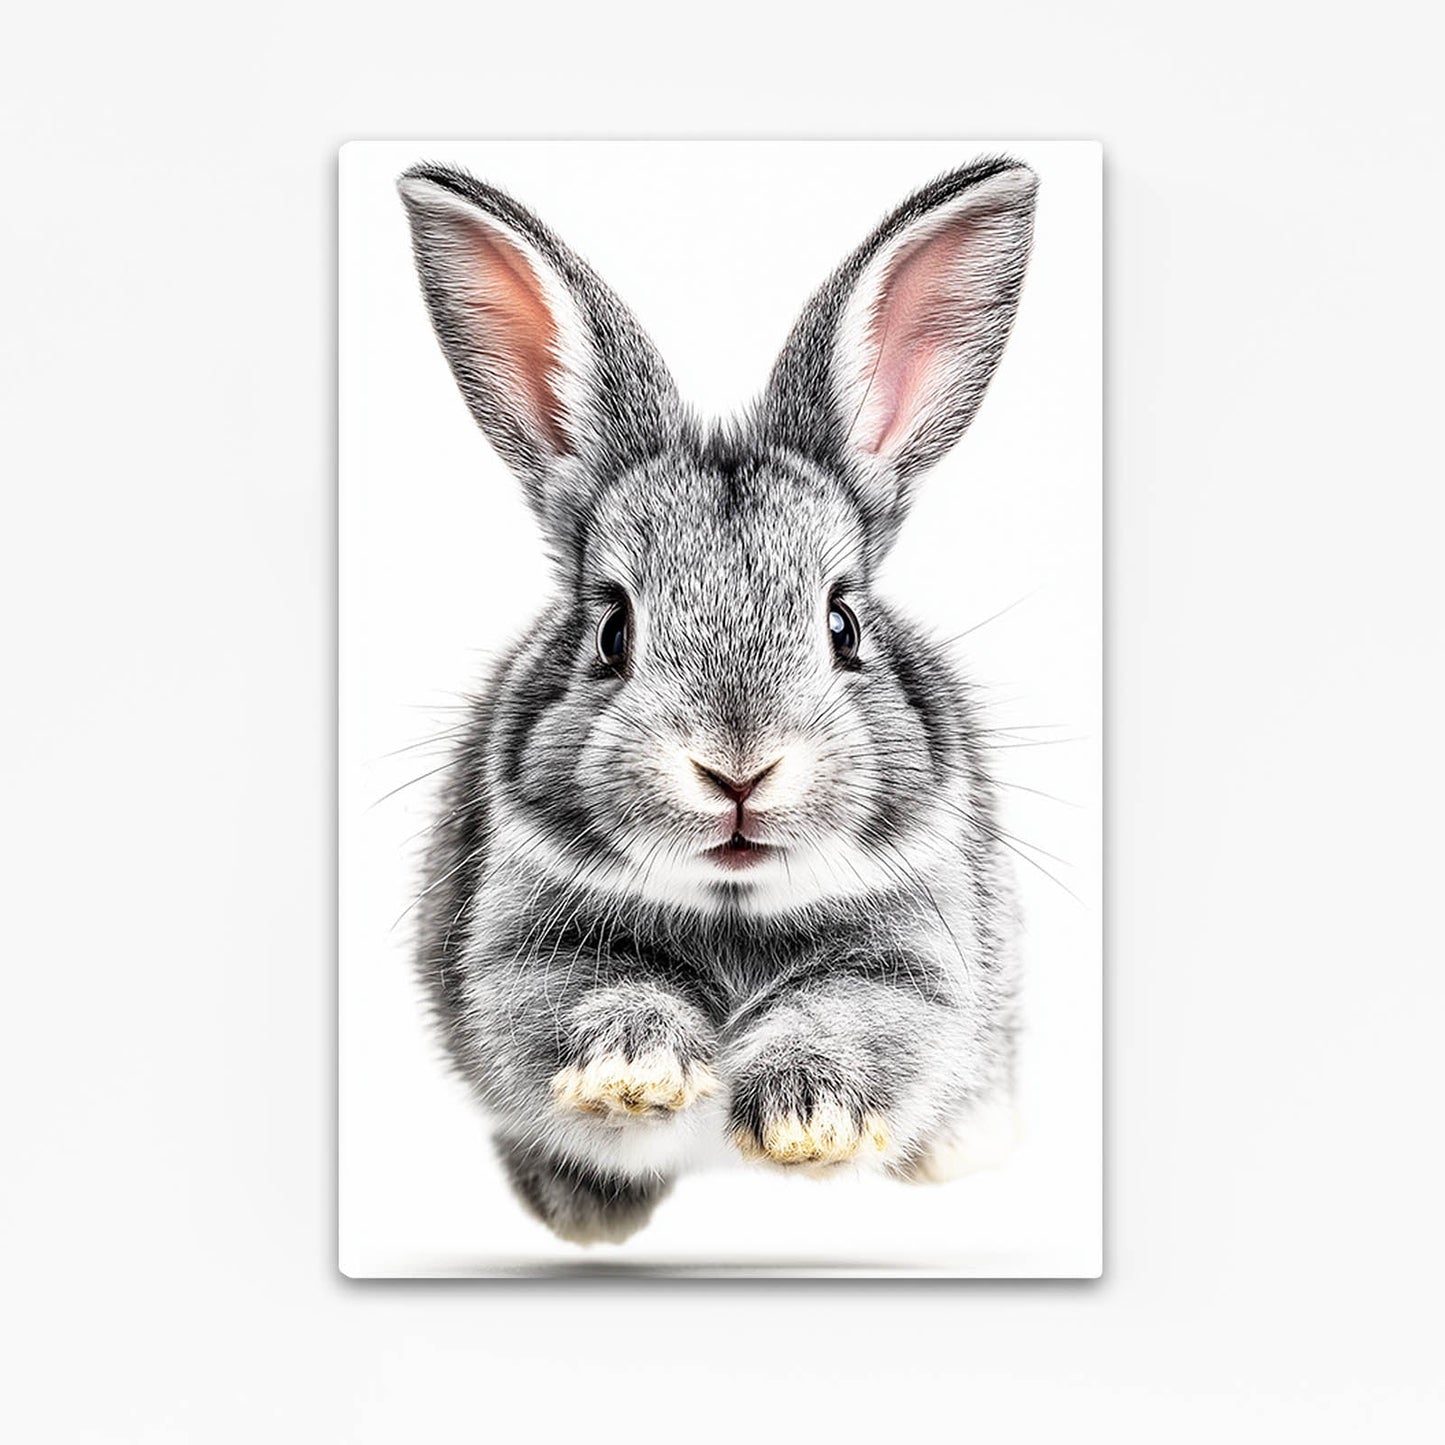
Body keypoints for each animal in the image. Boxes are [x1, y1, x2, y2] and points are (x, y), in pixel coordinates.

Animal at [398, 155, 1037, 1244]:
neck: (730, 907)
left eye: (842, 624)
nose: (738, 768)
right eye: (611, 631)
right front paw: (634, 1073)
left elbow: (852, 1015)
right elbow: (591, 1000)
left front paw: (808, 1124)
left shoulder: (915, 966)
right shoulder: (518, 962)